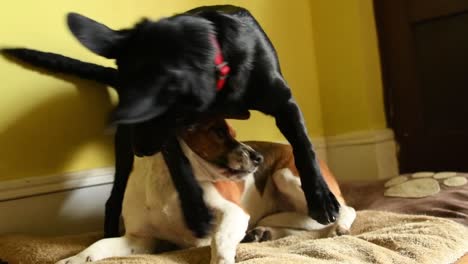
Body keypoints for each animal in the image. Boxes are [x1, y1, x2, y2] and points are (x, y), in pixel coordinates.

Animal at [2, 4, 340, 237]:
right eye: (128, 109)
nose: (141, 149)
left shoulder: (285, 103)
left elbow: (304, 146)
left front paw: (321, 198)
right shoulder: (168, 132)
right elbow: (179, 163)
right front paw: (196, 212)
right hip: (122, 152)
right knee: (114, 197)